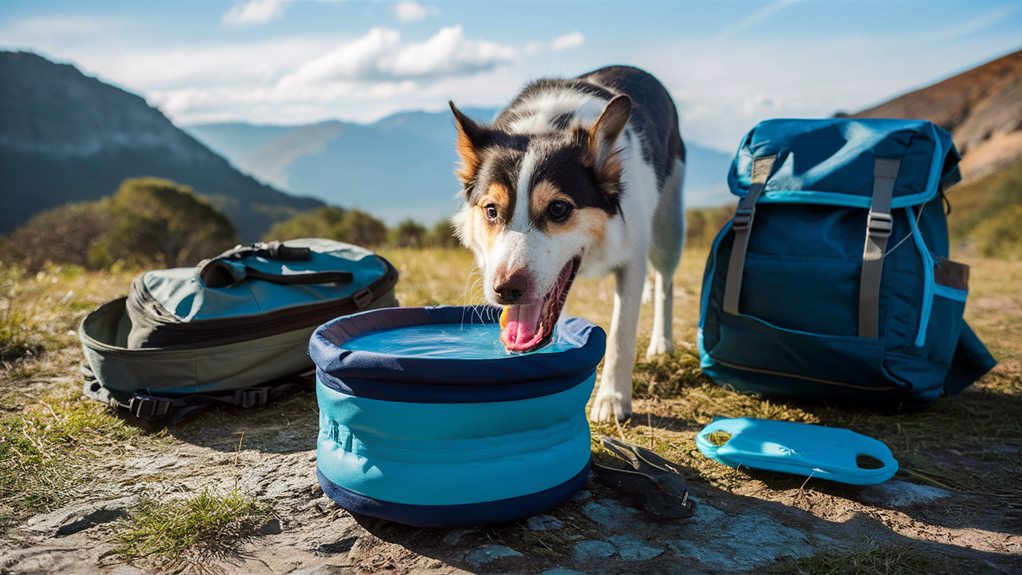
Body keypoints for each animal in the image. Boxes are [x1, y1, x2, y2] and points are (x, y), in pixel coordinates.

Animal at [449, 66, 682, 422]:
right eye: (491, 211)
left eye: (558, 209)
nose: (506, 290)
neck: (546, 128)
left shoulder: (633, 259)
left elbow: (621, 334)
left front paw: (612, 399)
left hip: (669, 228)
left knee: (665, 284)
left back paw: (661, 343)